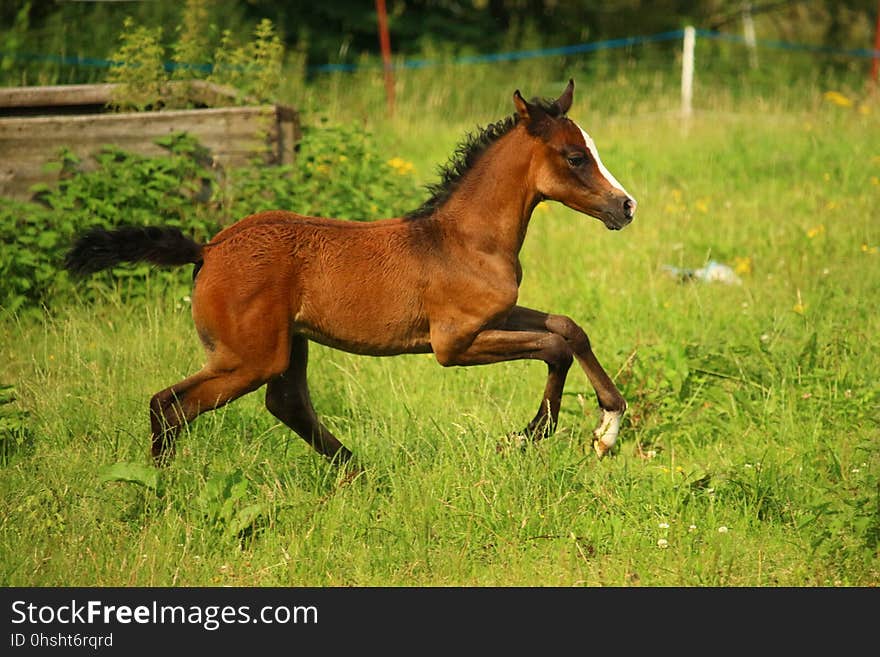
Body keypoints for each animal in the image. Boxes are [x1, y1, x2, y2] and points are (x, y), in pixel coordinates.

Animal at [65, 78, 636, 466]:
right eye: (575, 157)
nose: (626, 206)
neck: (464, 239)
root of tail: (208, 248)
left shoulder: (495, 315)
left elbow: (568, 328)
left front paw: (607, 427)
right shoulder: (453, 343)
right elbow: (554, 346)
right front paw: (530, 434)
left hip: (285, 346)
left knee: (285, 403)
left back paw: (359, 473)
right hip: (248, 358)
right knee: (171, 405)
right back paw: (159, 489)